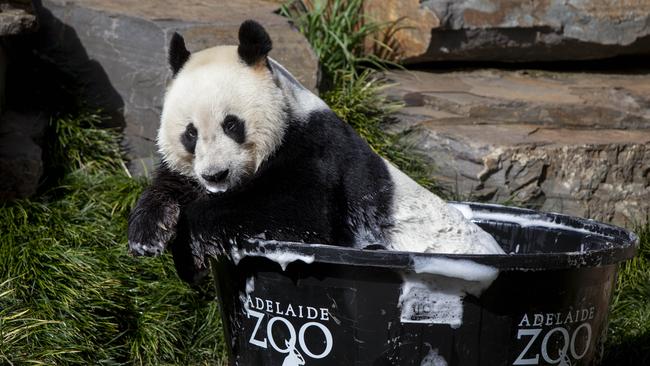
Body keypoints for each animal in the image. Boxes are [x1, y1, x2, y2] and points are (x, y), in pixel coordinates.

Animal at [128, 20, 502, 284]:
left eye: (232, 124)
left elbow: (298, 217)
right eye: (190, 134)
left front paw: (191, 239)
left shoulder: (315, 150)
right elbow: (170, 185)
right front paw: (148, 234)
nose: (216, 176)